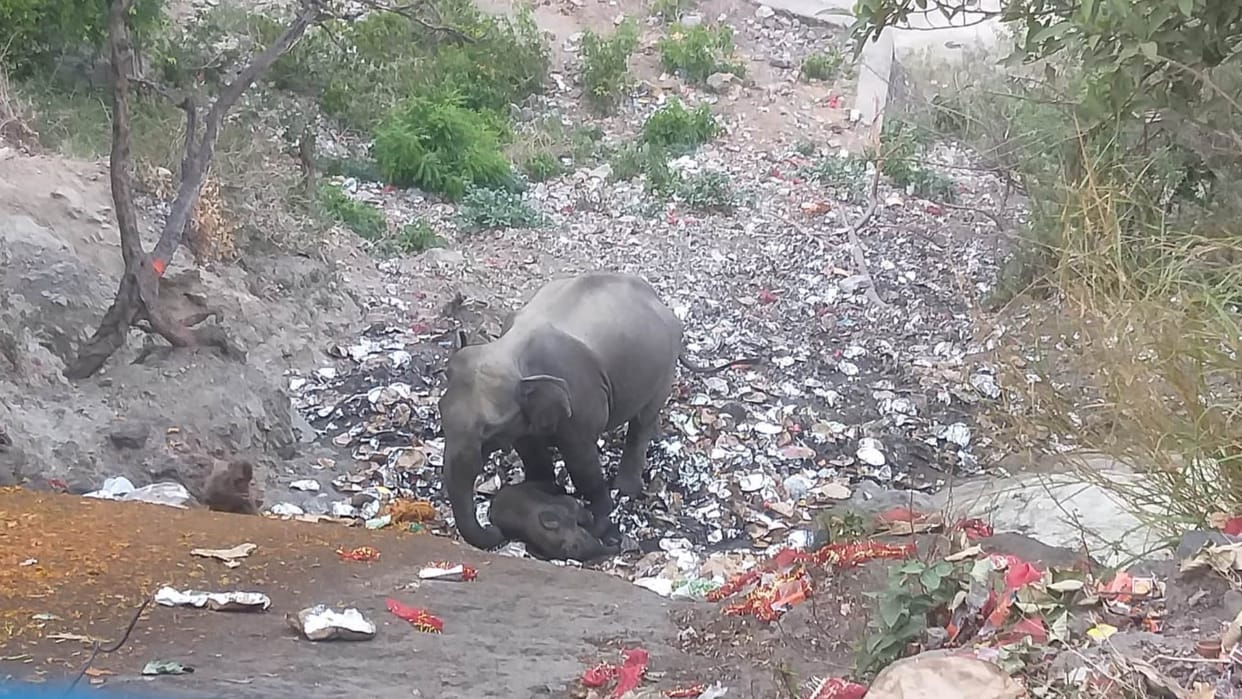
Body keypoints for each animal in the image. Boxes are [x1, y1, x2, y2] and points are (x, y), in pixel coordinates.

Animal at [438, 271, 757, 551]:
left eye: (488, 431)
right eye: (441, 414)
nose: (495, 530)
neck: (510, 352)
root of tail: (657, 298)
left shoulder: (580, 401)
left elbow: (581, 460)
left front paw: (600, 513)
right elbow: (531, 450)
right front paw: (543, 490)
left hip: (664, 367)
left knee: (643, 420)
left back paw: (626, 488)